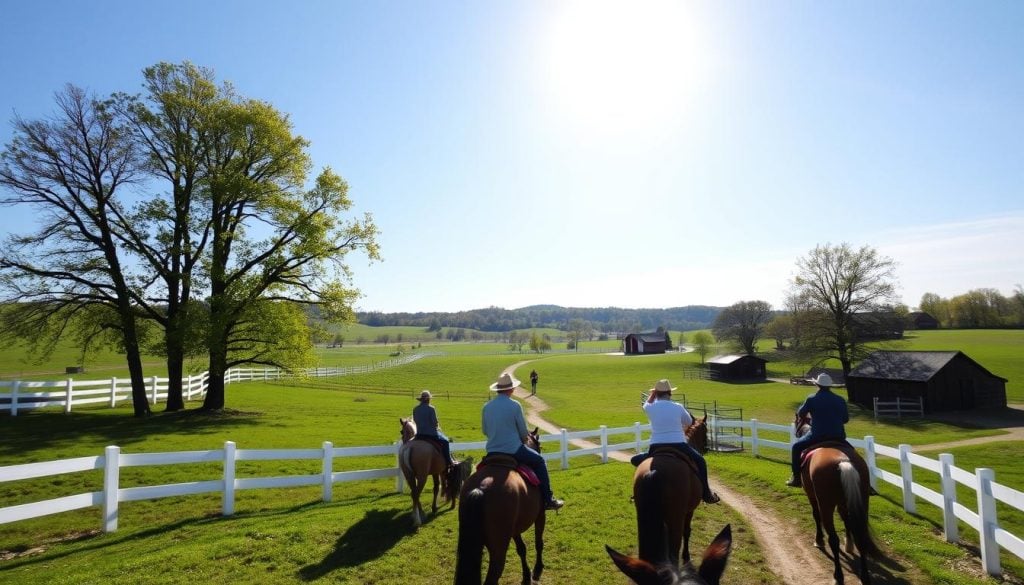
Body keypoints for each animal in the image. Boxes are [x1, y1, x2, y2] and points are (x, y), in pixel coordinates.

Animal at [452, 426, 544, 585]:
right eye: (539, 445)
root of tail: (481, 487)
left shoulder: (514, 529)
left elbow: (522, 549)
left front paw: (527, 576)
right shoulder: (540, 515)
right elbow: (539, 542)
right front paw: (537, 570)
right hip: (498, 547)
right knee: (494, 574)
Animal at [626, 411, 708, 569]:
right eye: (706, 430)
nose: (706, 448)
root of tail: (654, 472)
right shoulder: (689, 510)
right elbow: (687, 532)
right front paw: (686, 557)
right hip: (675, 518)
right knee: (674, 549)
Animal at [794, 413, 876, 581]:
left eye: (796, 420)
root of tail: (843, 462)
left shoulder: (811, 495)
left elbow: (815, 515)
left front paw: (819, 540)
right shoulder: (844, 502)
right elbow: (846, 520)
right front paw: (849, 545)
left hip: (826, 505)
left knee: (833, 539)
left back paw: (838, 574)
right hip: (863, 502)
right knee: (861, 535)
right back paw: (864, 575)